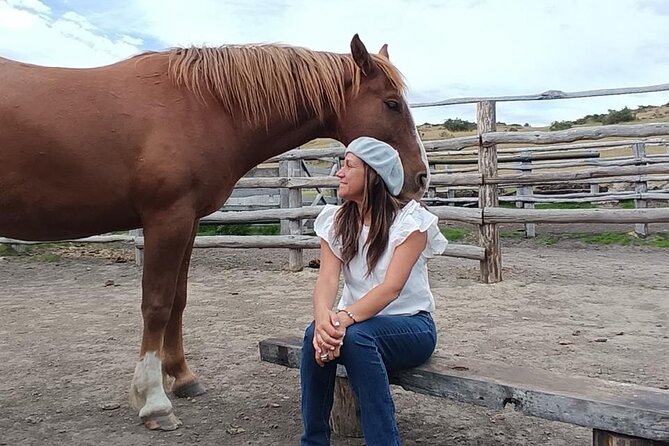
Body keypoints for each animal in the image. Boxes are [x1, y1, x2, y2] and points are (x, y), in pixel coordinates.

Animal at [0, 34, 430, 430]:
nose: (421, 178)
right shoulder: (167, 218)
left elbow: (178, 299)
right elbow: (156, 304)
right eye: (391, 103)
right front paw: (154, 401)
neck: (200, 106)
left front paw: (182, 378)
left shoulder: (188, 220)